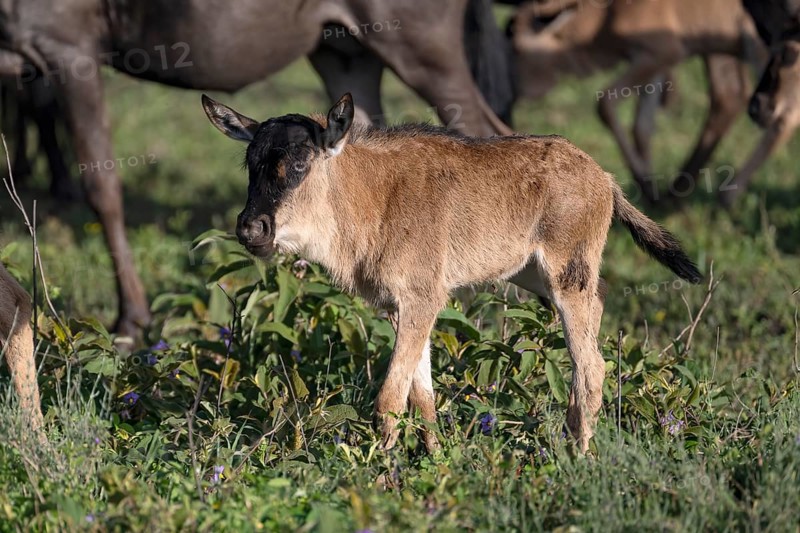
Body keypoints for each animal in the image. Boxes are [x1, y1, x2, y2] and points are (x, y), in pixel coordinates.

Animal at [203, 93, 701, 453]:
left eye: (300, 163)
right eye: (251, 164)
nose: (250, 228)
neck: (371, 198)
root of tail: (606, 179)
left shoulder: (422, 299)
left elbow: (389, 400)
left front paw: (381, 477)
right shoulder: (402, 307)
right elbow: (420, 397)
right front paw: (434, 461)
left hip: (566, 280)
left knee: (591, 365)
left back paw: (580, 456)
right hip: (537, 277)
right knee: (597, 320)